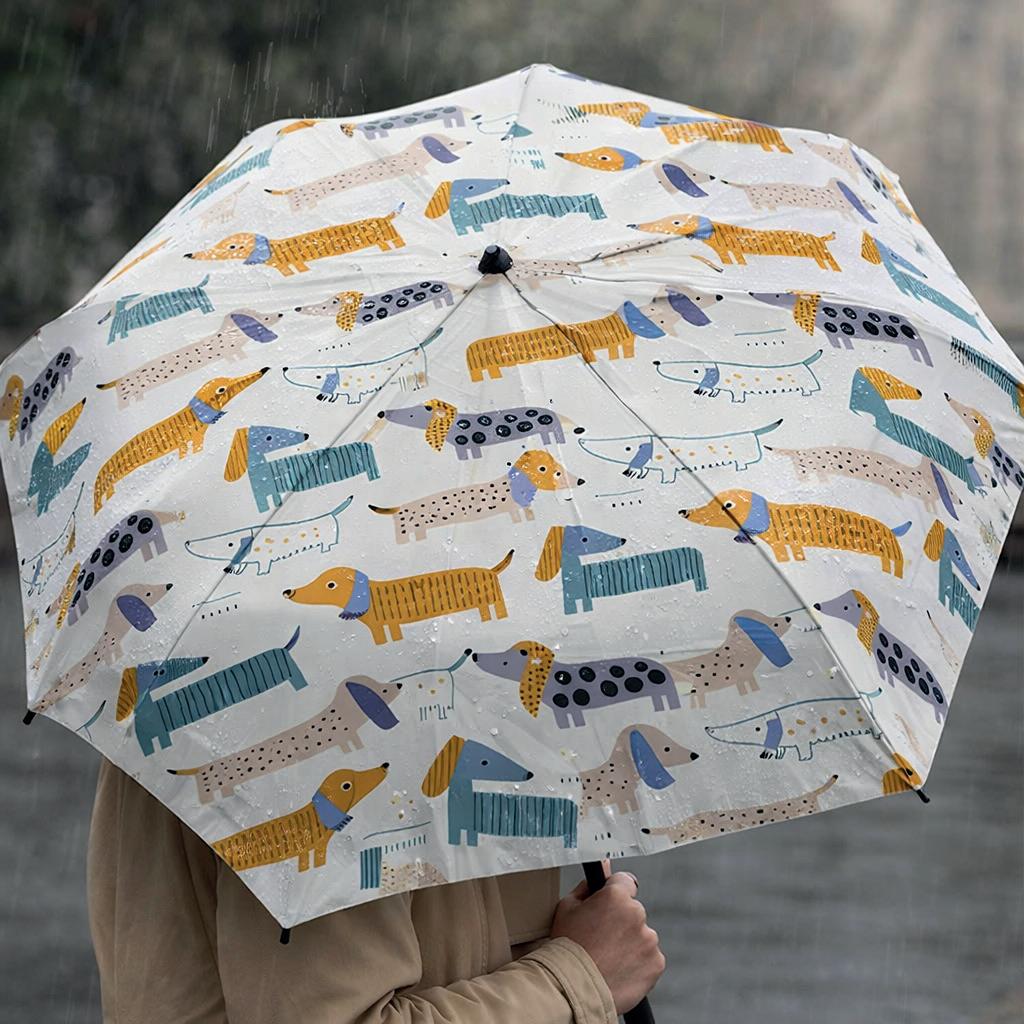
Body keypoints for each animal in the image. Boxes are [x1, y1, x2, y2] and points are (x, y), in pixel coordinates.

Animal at [93, 368, 267, 514]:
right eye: (221, 389)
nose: (263, 370)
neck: (196, 413)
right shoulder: (195, 438)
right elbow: (195, 449)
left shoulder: (185, 442)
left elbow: (185, 452)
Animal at [283, 550, 514, 645]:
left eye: (331, 585)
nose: (288, 592)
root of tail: (491, 570)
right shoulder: (384, 624)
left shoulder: (385, 623)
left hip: (496, 599)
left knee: (499, 609)